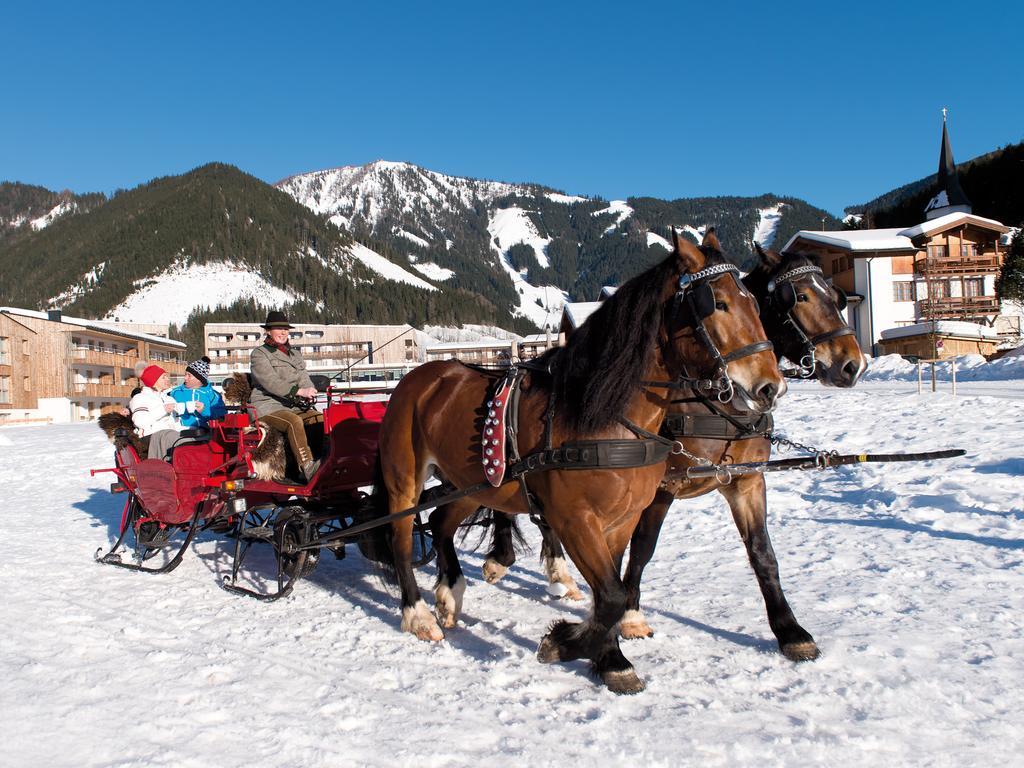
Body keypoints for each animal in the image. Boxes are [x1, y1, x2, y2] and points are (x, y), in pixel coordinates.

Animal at [368, 231, 782, 696]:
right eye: (719, 304)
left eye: (754, 302)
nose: (770, 387)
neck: (604, 416)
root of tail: (418, 377)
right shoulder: (574, 520)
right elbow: (612, 595)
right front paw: (570, 645)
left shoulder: (621, 520)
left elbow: (611, 592)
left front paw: (606, 657)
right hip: (405, 478)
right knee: (401, 538)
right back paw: (417, 614)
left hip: (470, 481)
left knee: (440, 523)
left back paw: (449, 594)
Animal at [477, 244, 864, 663]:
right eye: (800, 297)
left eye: (836, 297)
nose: (852, 364)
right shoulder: (661, 488)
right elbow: (643, 548)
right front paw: (630, 615)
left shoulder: (746, 480)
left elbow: (763, 552)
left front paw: (790, 630)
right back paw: (509, 559)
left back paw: (557, 574)